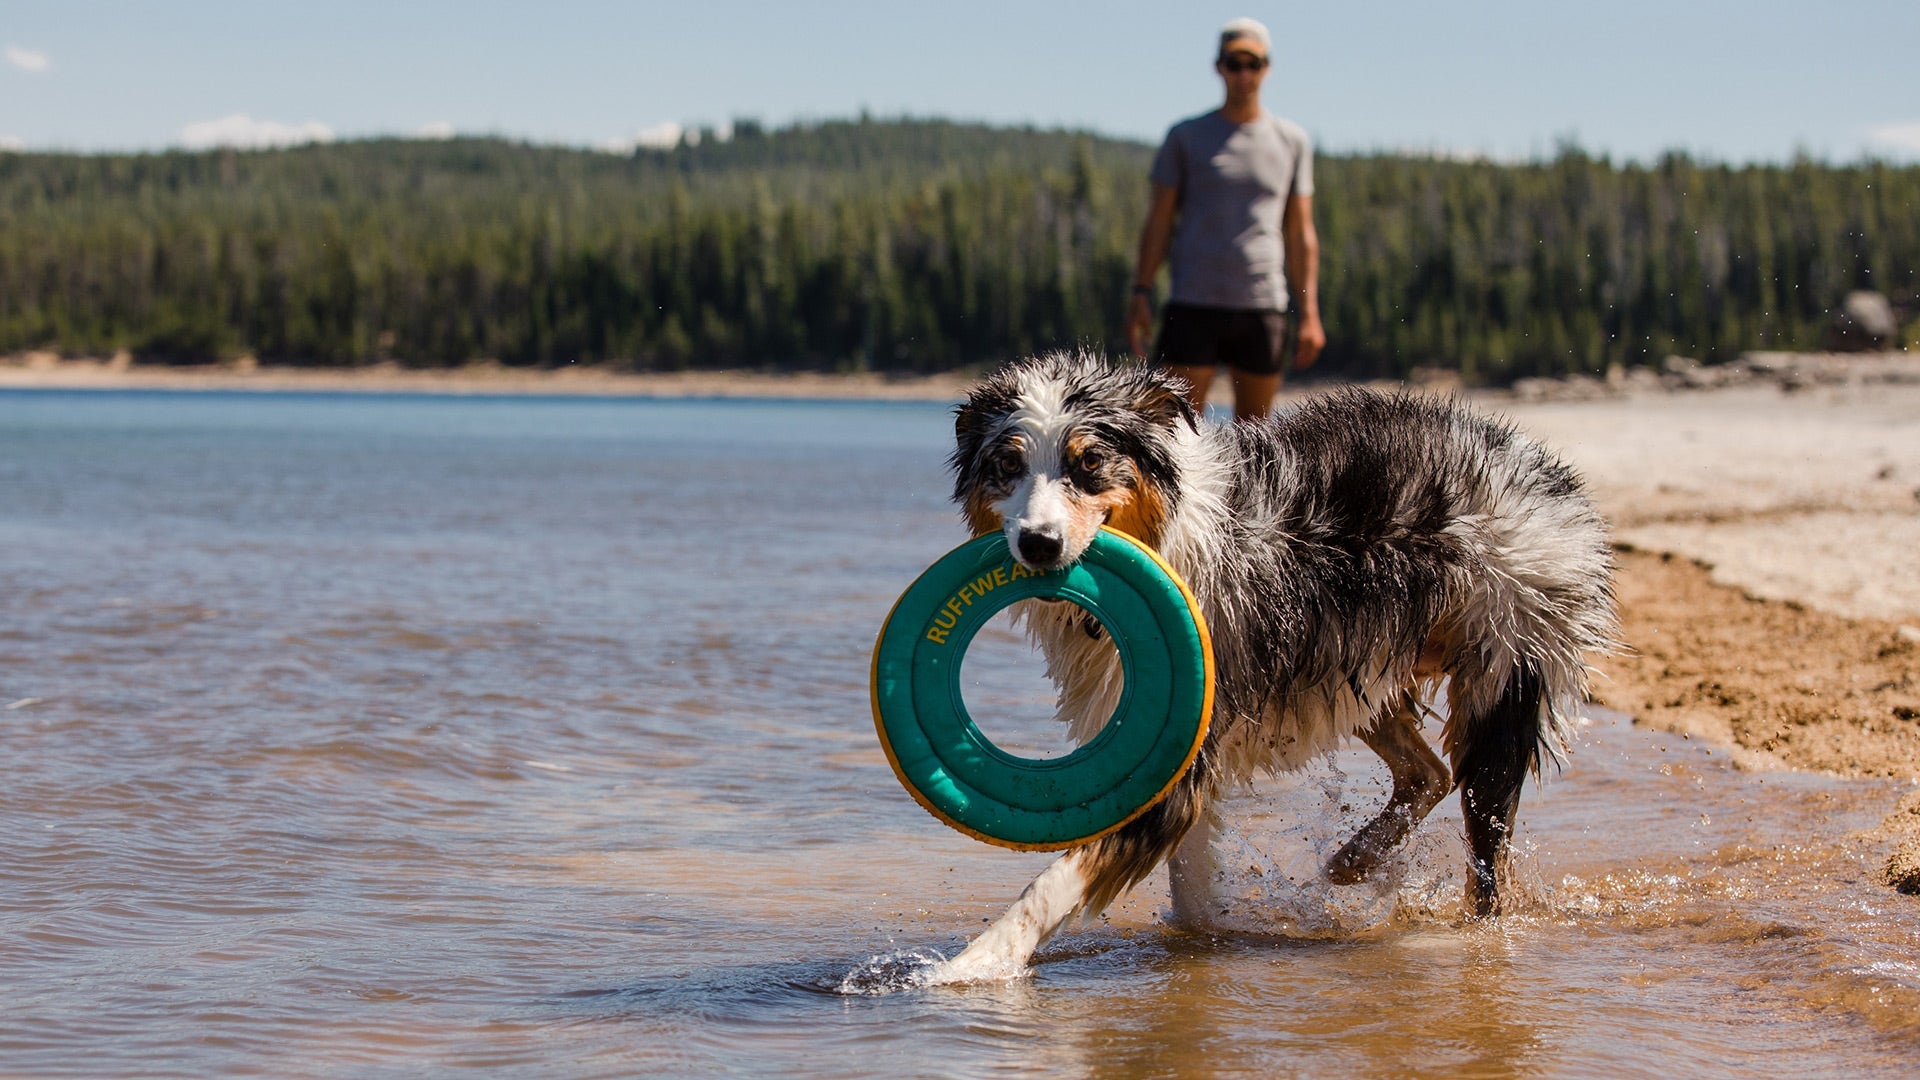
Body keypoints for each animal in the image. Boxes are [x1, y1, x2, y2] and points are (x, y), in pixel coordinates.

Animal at [929, 351, 1620, 976]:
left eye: (1089, 463)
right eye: (1008, 465)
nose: (1038, 544)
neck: (1170, 539)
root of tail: (1534, 461)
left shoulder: (1179, 750)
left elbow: (1054, 881)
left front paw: (972, 963)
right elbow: (1188, 879)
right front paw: (1196, 946)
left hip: (1503, 666)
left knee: (1485, 843)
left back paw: (1466, 932)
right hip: (1358, 668)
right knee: (1427, 772)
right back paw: (1356, 859)